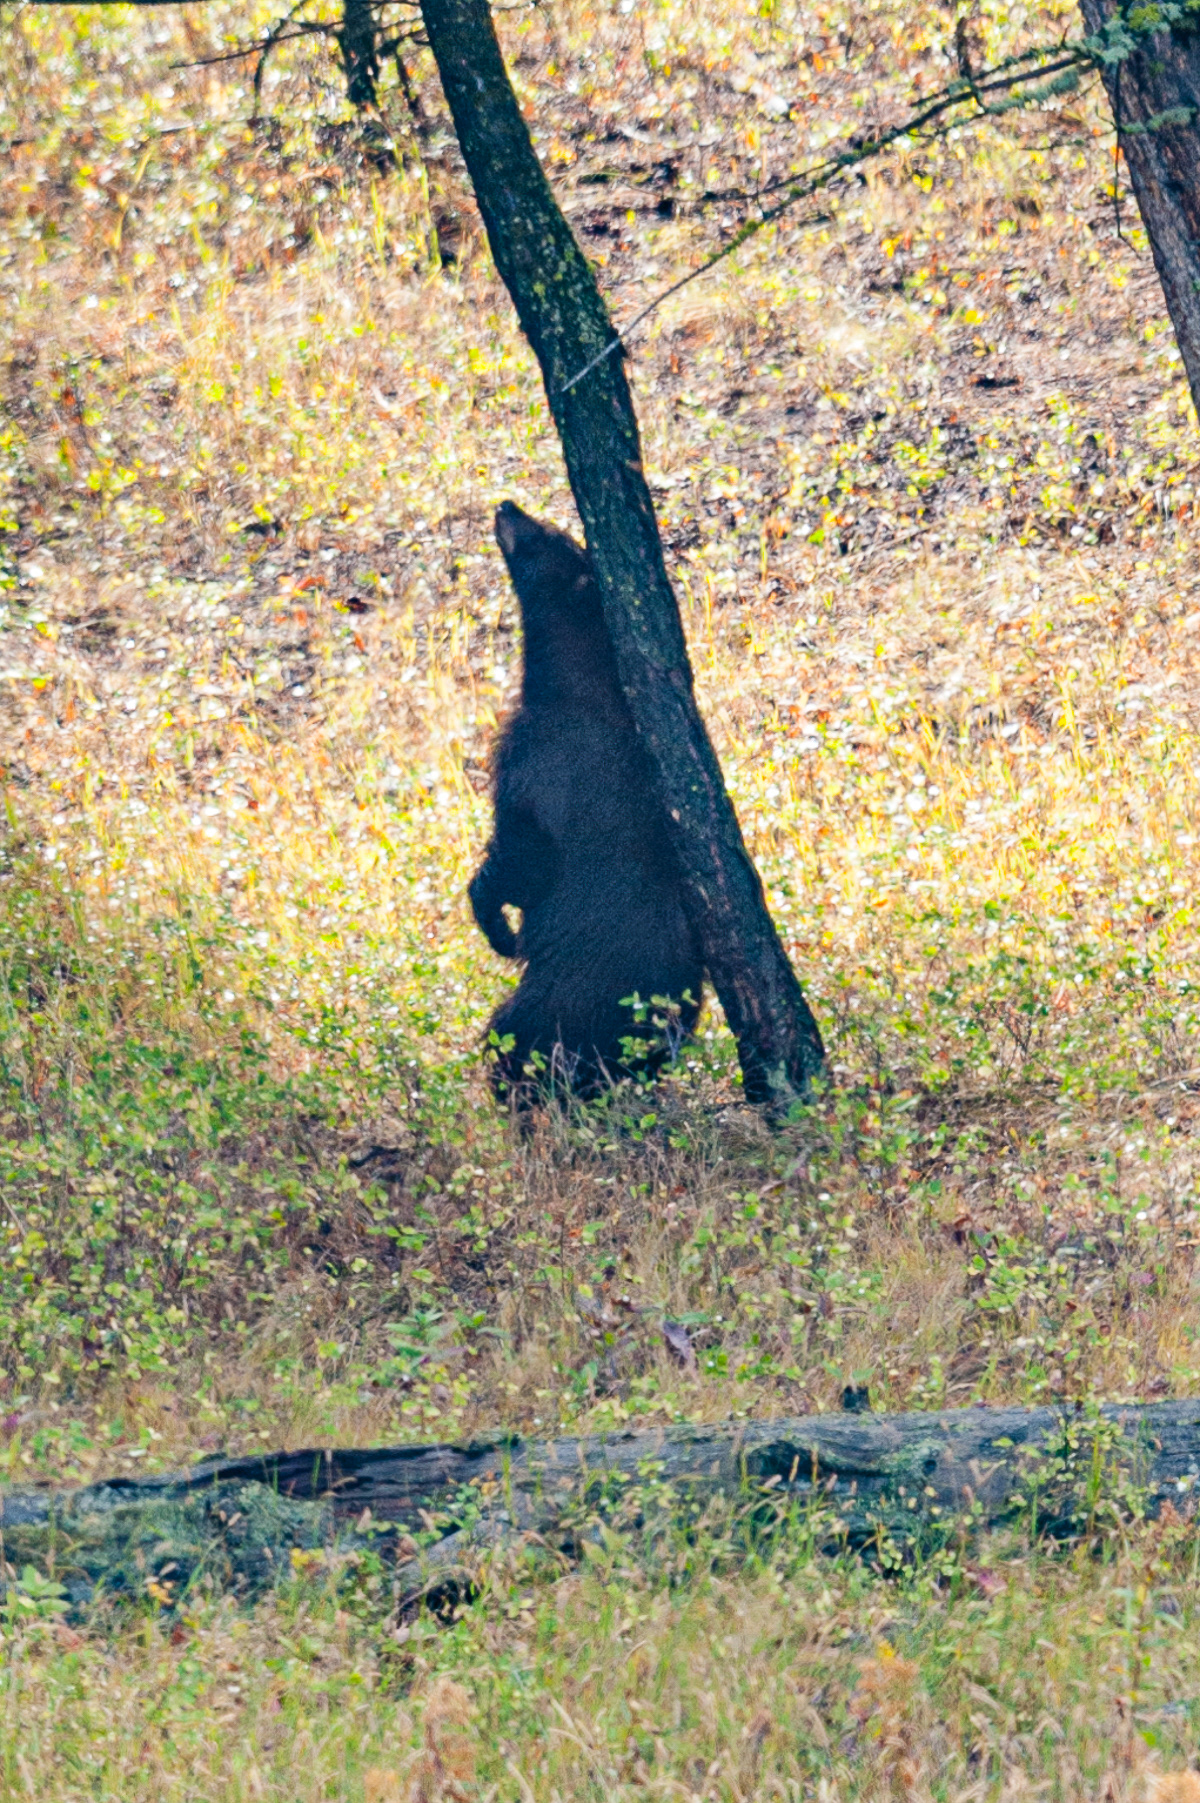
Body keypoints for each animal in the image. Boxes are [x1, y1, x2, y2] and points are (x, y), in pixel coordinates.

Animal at [469, 501, 704, 1100]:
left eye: (547, 536)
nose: (506, 505)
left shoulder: (538, 770)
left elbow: (520, 857)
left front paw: (499, 929)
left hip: (557, 1001)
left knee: (513, 1041)